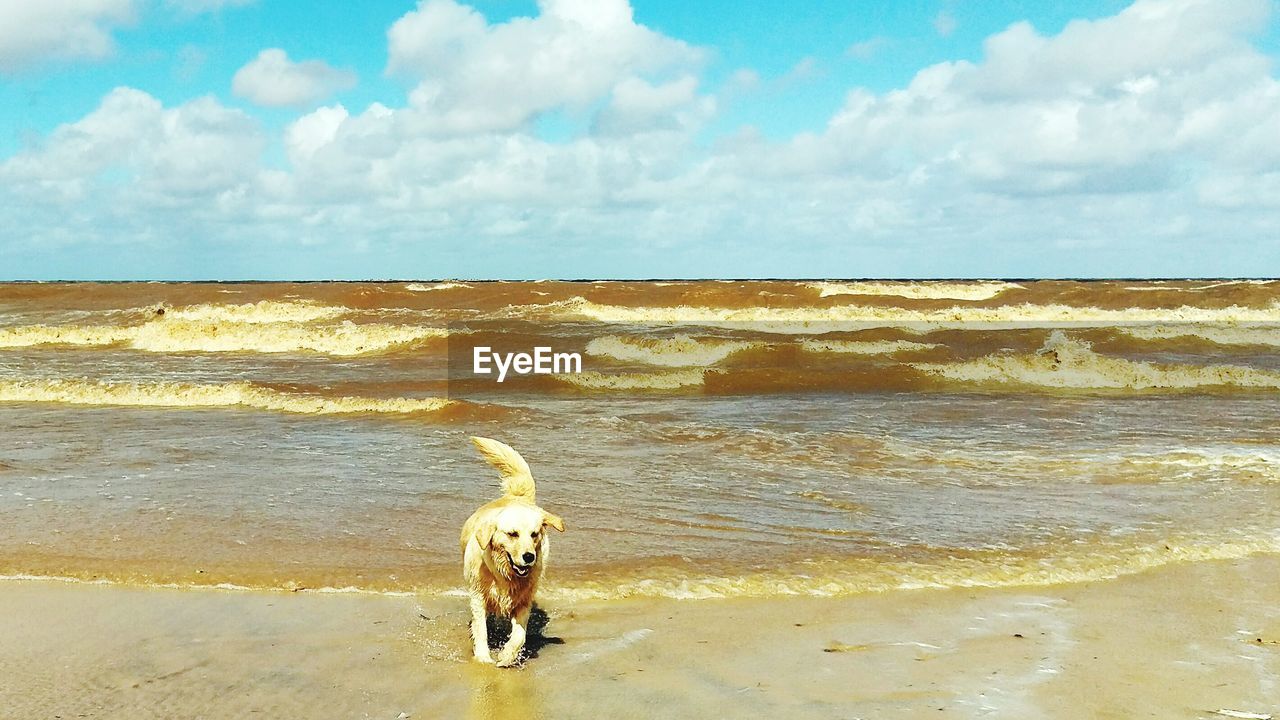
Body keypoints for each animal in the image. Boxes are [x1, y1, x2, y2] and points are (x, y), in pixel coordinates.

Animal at [458, 435, 563, 666]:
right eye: (512, 534)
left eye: (534, 534)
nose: (529, 557)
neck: (505, 574)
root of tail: (518, 497)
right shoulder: (478, 596)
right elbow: (481, 628)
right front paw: (483, 656)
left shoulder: (524, 601)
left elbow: (519, 634)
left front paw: (507, 656)